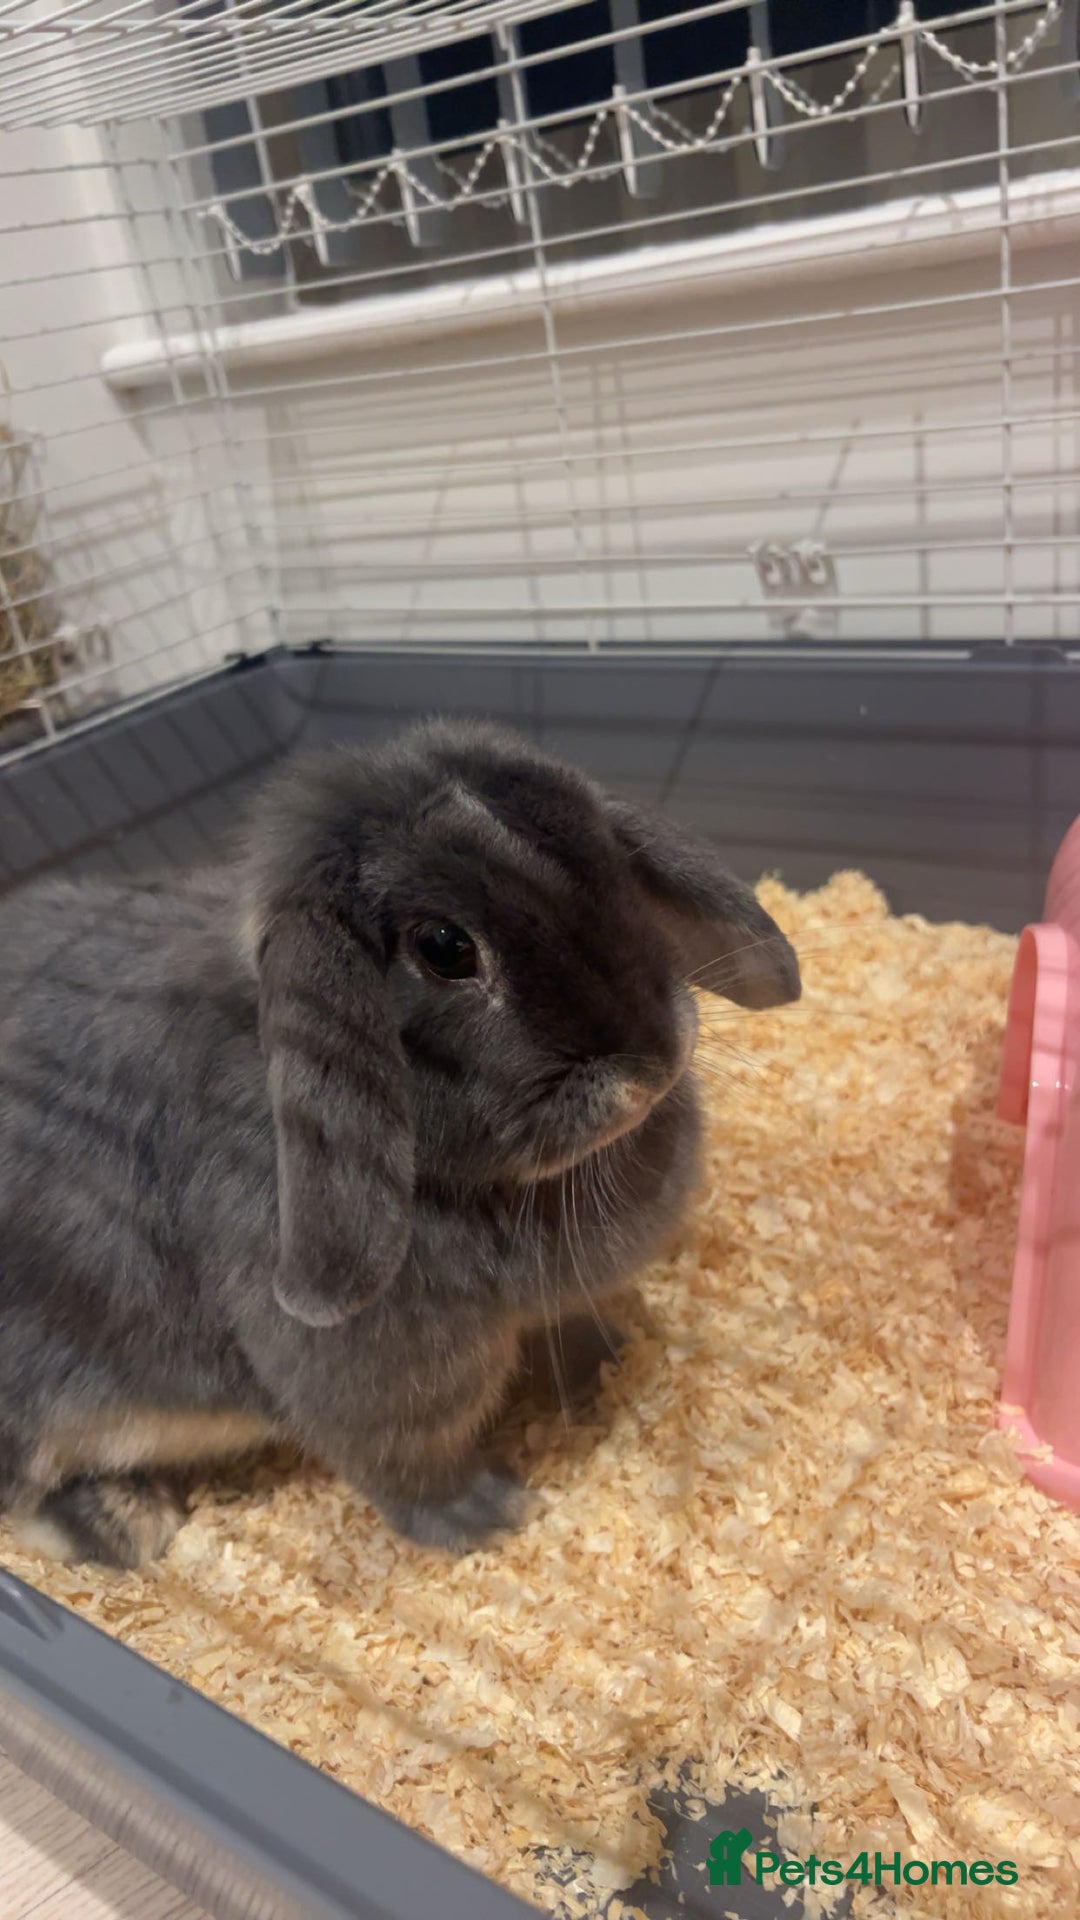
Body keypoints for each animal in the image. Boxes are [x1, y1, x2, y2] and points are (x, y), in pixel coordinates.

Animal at [0, 719, 799, 1567]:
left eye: (605, 859)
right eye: (445, 947)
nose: (651, 1064)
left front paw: (611, 1360)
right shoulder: (382, 1384)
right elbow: (408, 1463)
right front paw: (489, 1518)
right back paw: (130, 1527)